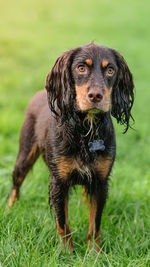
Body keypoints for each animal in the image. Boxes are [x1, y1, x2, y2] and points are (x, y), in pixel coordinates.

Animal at [7, 42, 134, 253]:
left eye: (110, 70)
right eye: (81, 68)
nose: (96, 96)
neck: (86, 129)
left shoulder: (100, 181)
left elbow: (95, 223)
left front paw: (94, 253)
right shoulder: (58, 182)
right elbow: (63, 222)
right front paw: (67, 253)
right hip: (24, 155)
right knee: (16, 184)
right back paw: (9, 209)